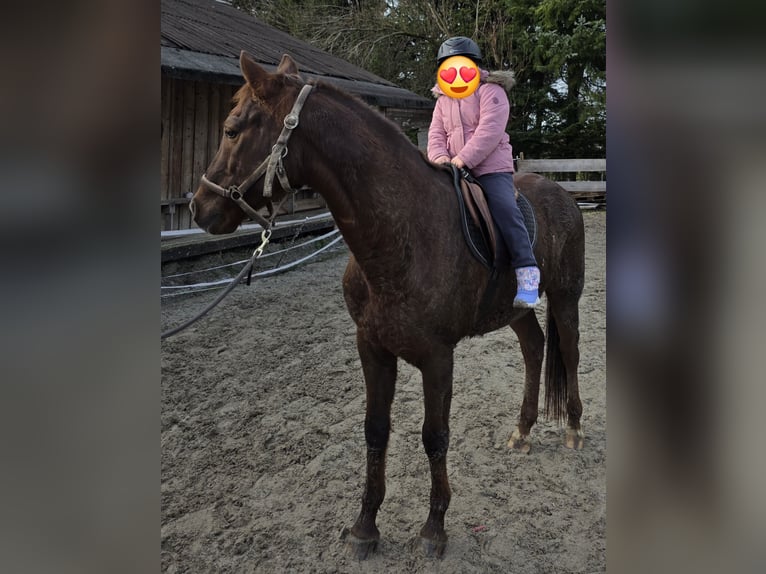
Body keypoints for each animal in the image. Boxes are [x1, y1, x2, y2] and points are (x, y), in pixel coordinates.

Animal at [190, 51, 585, 560]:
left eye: (232, 129)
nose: (200, 207)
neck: (400, 236)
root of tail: (562, 193)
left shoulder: (437, 357)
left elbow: (435, 436)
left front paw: (434, 528)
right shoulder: (373, 348)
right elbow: (375, 430)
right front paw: (365, 527)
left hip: (566, 297)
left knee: (568, 352)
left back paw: (573, 429)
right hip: (515, 311)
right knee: (534, 348)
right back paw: (523, 430)